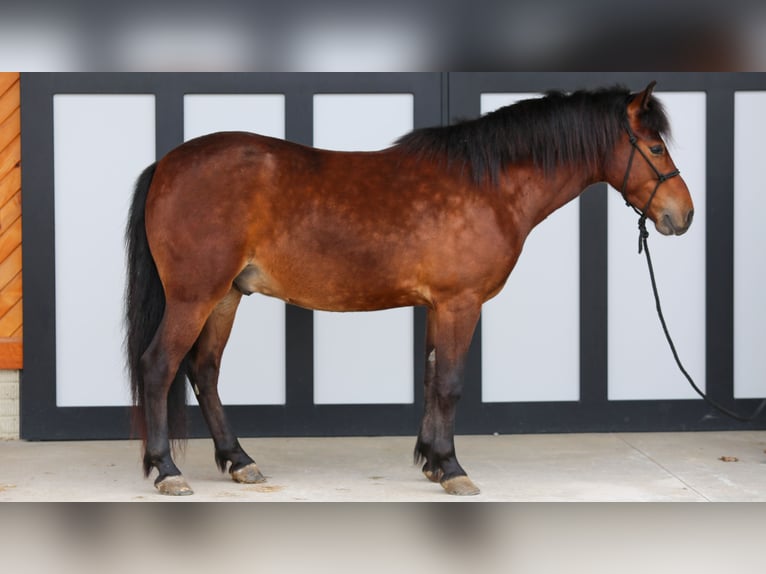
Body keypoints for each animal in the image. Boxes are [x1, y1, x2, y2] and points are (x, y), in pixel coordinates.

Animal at [125, 81, 693, 496]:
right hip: (194, 296)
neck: (487, 185)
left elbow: (430, 378)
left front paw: (433, 462)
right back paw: (167, 470)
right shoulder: (461, 304)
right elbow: (451, 384)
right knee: (159, 366)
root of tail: (167, 164)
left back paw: (239, 461)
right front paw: (454, 469)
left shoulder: (437, 306)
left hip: (226, 295)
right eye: (655, 146)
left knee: (204, 370)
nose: (682, 216)